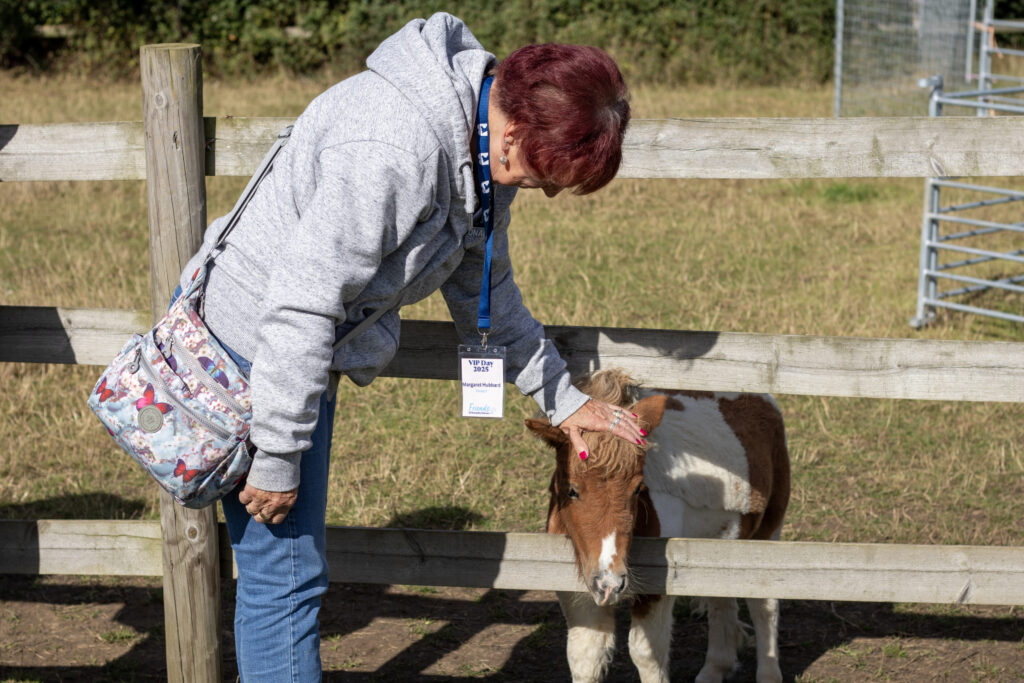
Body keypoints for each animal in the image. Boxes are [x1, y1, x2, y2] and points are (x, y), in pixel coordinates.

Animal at [526, 369, 790, 683]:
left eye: (639, 489)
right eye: (572, 490)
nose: (610, 583)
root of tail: (761, 398)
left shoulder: (655, 588)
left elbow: (646, 655)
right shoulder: (576, 591)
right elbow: (585, 658)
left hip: (768, 533)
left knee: (765, 606)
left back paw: (768, 674)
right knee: (720, 599)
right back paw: (715, 669)